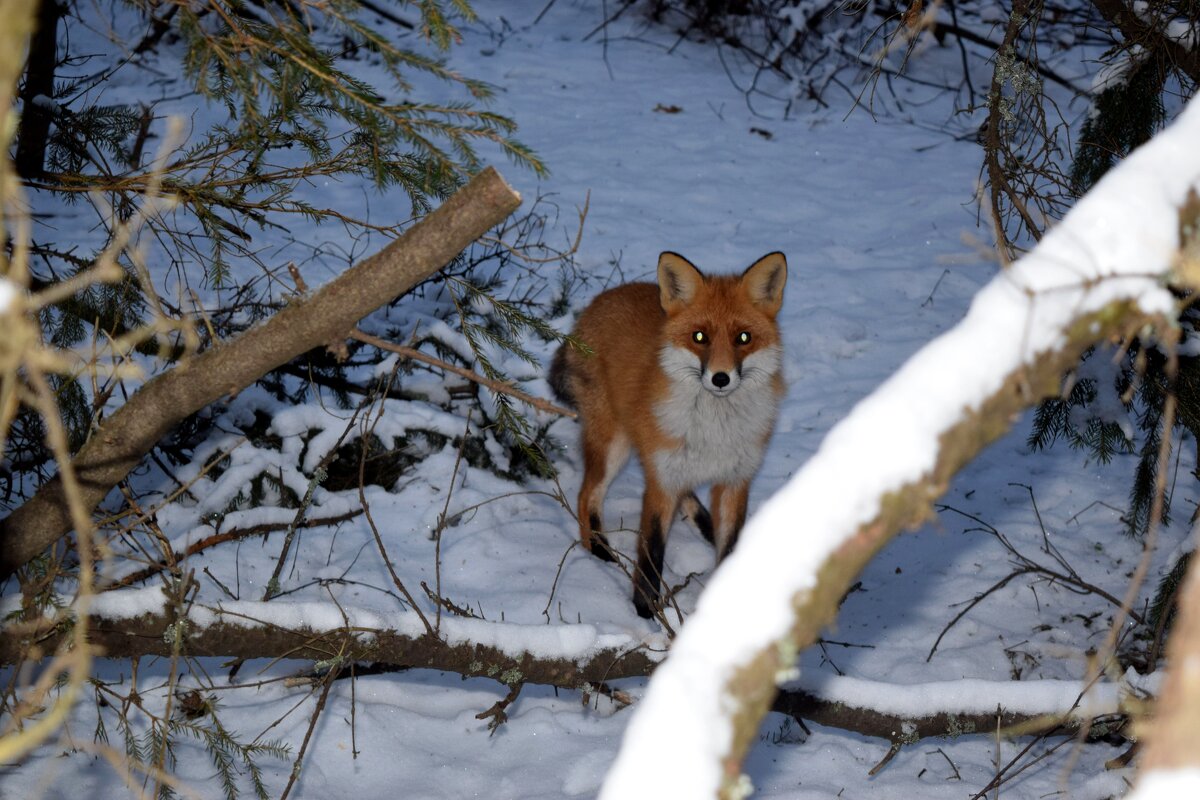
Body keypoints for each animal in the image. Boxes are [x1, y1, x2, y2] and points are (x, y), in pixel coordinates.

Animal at [549, 250, 787, 618]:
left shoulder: (735, 480)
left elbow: (729, 547)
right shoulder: (661, 483)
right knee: (586, 495)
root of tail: (598, 301)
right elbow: (652, 553)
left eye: (743, 338)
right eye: (699, 337)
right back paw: (600, 552)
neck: (715, 431)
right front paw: (646, 612)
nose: (720, 378)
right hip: (613, 447)